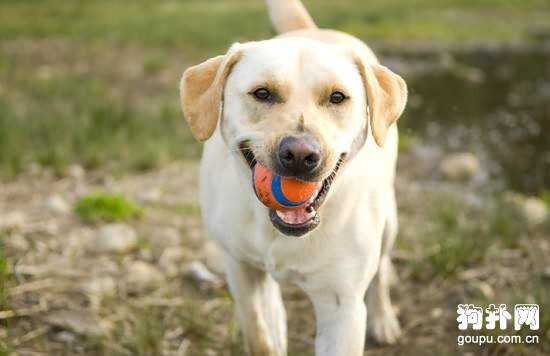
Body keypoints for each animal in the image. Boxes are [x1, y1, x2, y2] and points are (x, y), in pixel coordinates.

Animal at [179, 1, 408, 354]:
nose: (300, 155)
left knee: (381, 268)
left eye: (337, 97)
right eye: (262, 93)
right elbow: (259, 336)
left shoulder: (342, 307)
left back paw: (383, 318)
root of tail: (311, 29)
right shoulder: (241, 270)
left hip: (388, 219)